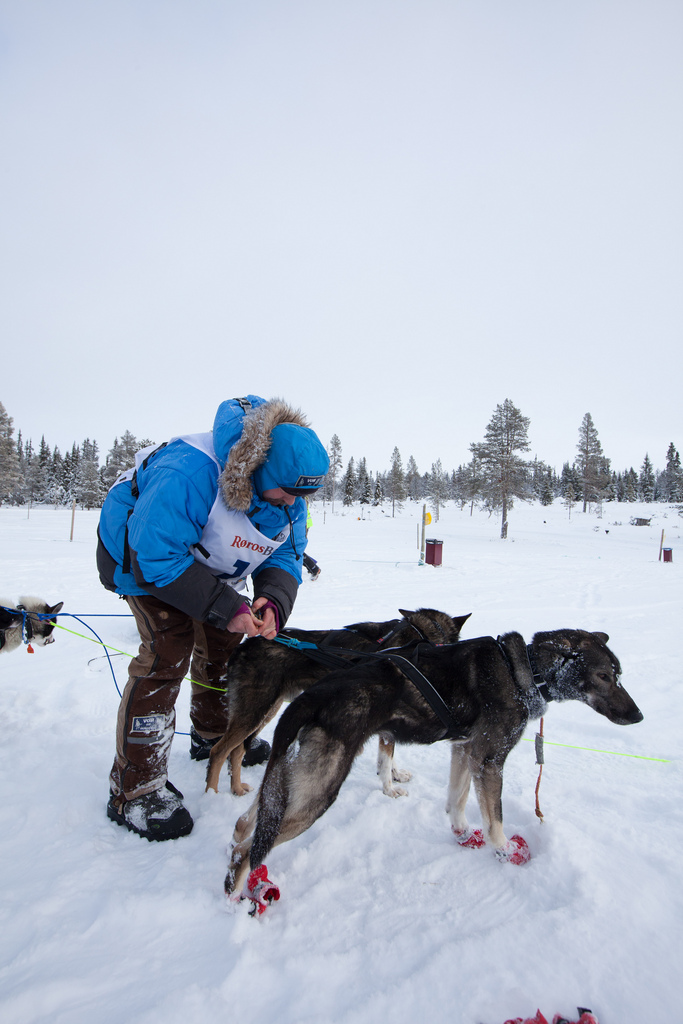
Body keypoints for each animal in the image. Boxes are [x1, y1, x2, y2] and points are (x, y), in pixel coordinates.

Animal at [204, 606, 471, 798]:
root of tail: (246, 644)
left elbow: (389, 754)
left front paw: (395, 774)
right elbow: (386, 757)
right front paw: (389, 789)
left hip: (264, 711)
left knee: (237, 750)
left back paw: (237, 789)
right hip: (254, 711)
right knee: (218, 751)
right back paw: (211, 795)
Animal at [227, 622, 643, 897]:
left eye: (619, 674)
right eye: (604, 676)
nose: (638, 716)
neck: (523, 671)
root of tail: (308, 699)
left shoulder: (465, 749)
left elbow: (457, 799)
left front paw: (461, 832)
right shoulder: (489, 759)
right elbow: (495, 818)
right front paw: (504, 851)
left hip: (293, 784)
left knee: (247, 823)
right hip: (318, 793)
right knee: (248, 852)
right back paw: (237, 900)